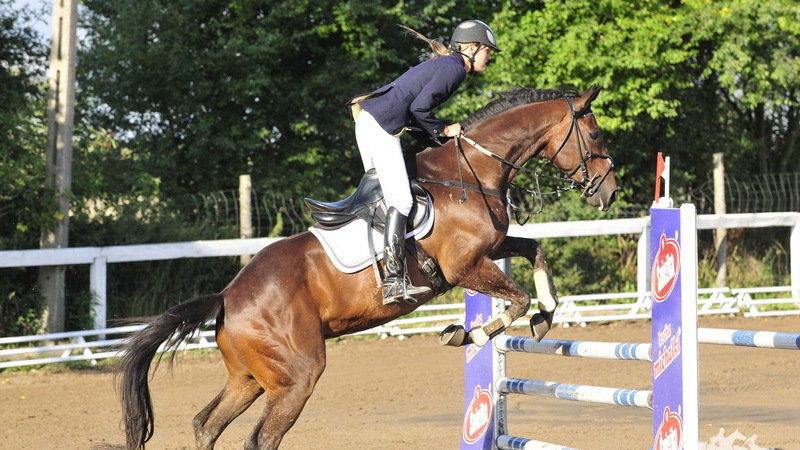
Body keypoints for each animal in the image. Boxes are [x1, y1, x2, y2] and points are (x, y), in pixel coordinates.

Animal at [119, 86, 620, 448]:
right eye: (596, 136)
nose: (608, 192)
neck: (471, 170)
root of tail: (227, 297)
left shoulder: (493, 248)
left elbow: (535, 251)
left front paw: (546, 316)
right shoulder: (465, 268)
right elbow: (514, 300)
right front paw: (469, 334)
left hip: (249, 378)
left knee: (207, 424)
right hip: (296, 378)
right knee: (260, 439)